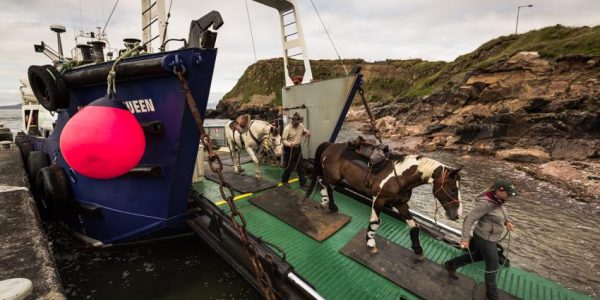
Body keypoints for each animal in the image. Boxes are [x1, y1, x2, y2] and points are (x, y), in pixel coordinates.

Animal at [304, 142, 464, 256]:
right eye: (452, 189)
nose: (456, 215)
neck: (400, 176)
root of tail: (331, 145)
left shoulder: (400, 203)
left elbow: (414, 226)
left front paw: (417, 247)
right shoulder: (379, 199)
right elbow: (375, 222)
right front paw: (370, 242)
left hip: (335, 177)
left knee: (325, 184)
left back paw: (327, 203)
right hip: (333, 176)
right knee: (323, 180)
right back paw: (328, 203)